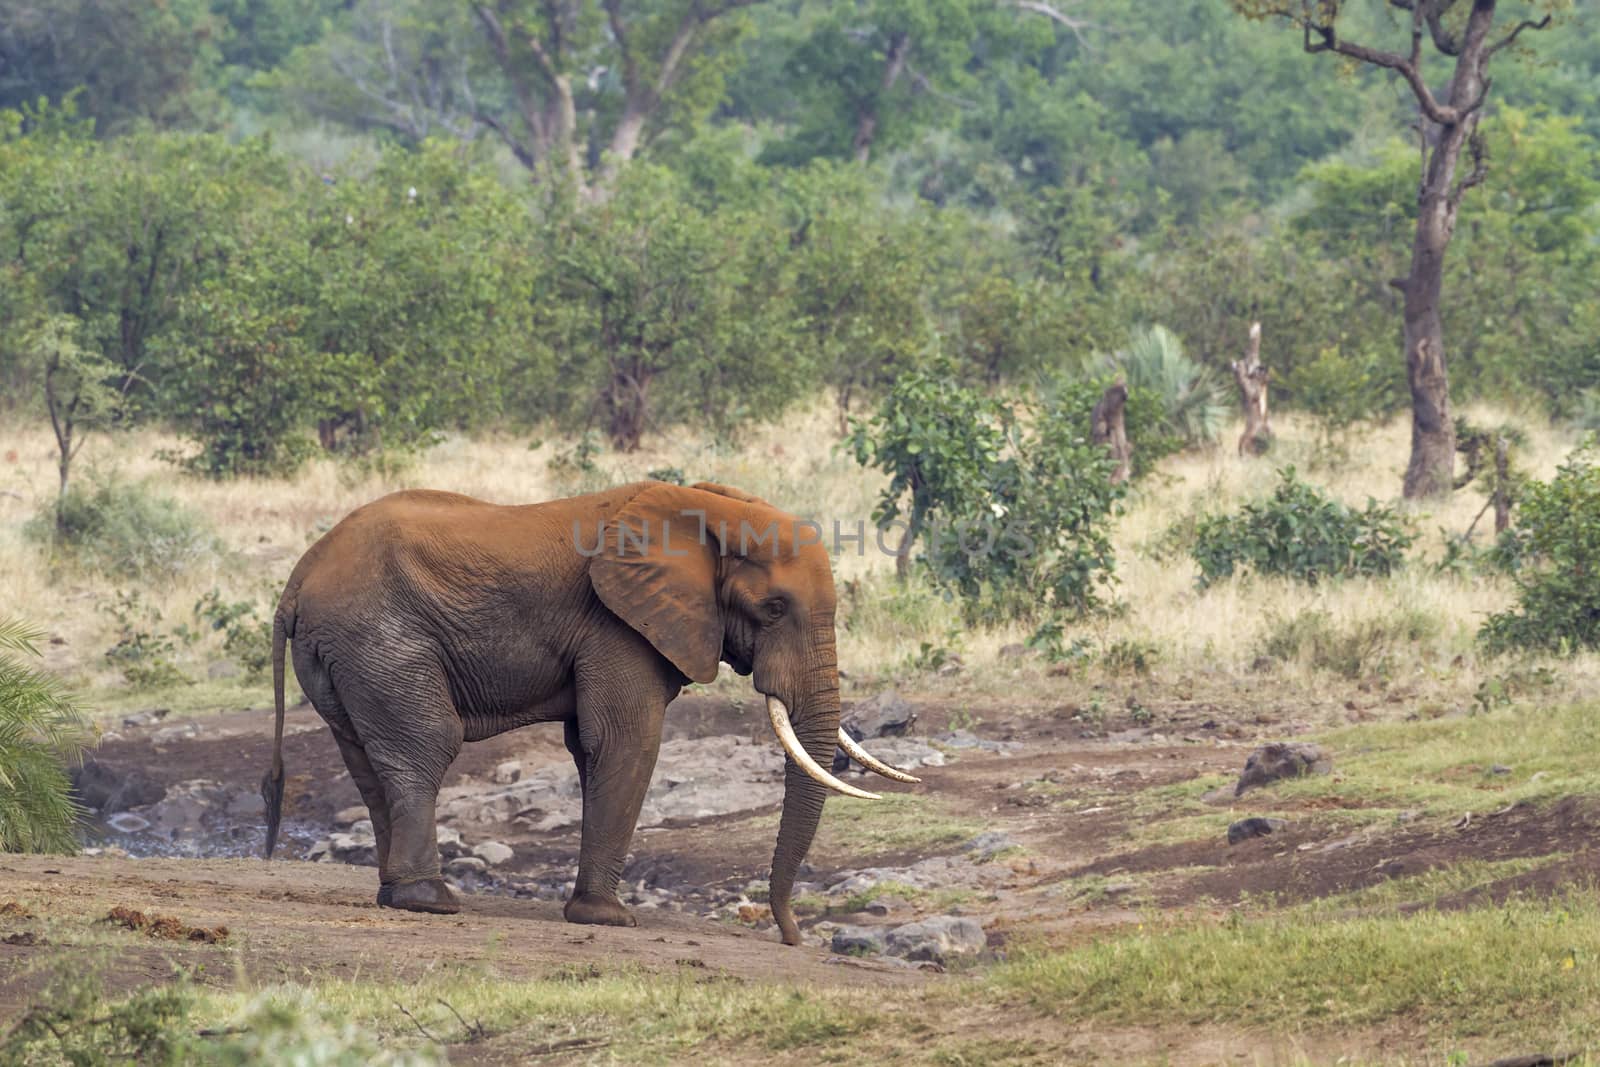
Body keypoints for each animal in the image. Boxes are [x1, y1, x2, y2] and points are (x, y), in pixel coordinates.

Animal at [256, 483, 921, 940]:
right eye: (775, 608)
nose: (791, 934)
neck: (703, 510)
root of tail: (298, 577)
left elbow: (592, 746)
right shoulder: (615, 624)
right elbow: (625, 739)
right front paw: (608, 919)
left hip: (342, 654)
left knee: (369, 764)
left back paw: (396, 895)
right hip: (380, 640)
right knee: (427, 744)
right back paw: (430, 900)